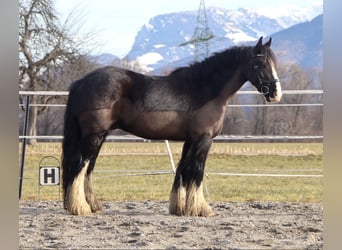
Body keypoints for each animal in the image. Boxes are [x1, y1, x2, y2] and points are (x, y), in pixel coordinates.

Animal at [62, 36, 282, 215]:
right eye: (259, 64)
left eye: (273, 63)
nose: (275, 93)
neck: (205, 90)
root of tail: (81, 82)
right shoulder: (203, 140)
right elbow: (196, 172)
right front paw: (200, 209)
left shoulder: (190, 141)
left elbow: (183, 170)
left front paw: (179, 207)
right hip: (94, 135)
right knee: (79, 165)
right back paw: (79, 208)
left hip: (99, 136)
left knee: (88, 168)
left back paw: (92, 205)